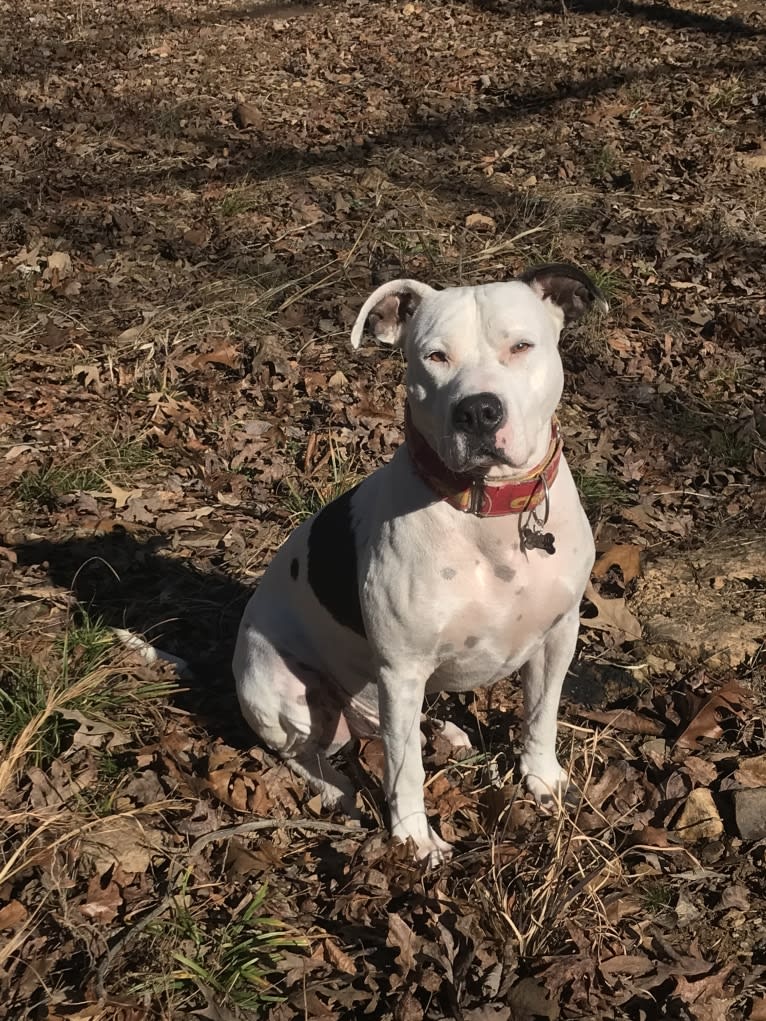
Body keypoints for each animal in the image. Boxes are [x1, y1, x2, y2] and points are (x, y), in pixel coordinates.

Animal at [236, 261, 608, 861]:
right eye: (435, 356)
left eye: (521, 346)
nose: (478, 410)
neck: (489, 514)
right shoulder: (403, 669)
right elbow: (404, 769)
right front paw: (413, 840)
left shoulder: (558, 634)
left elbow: (541, 714)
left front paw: (542, 777)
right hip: (279, 694)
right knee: (303, 756)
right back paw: (338, 792)